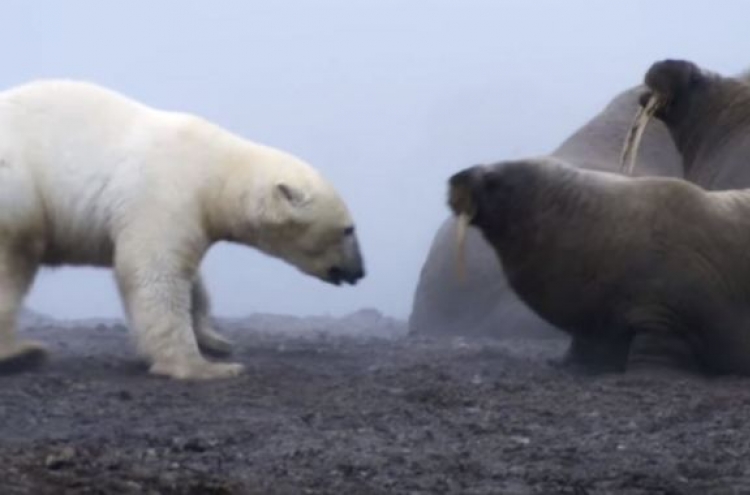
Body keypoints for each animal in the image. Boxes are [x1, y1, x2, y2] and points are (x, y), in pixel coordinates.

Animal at [0, 78, 368, 380]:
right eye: (348, 229)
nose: (360, 271)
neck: (215, 170)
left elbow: (191, 282)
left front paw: (216, 340)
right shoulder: (165, 194)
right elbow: (155, 274)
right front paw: (206, 367)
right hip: (19, 190)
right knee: (13, 261)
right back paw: (22, 354)